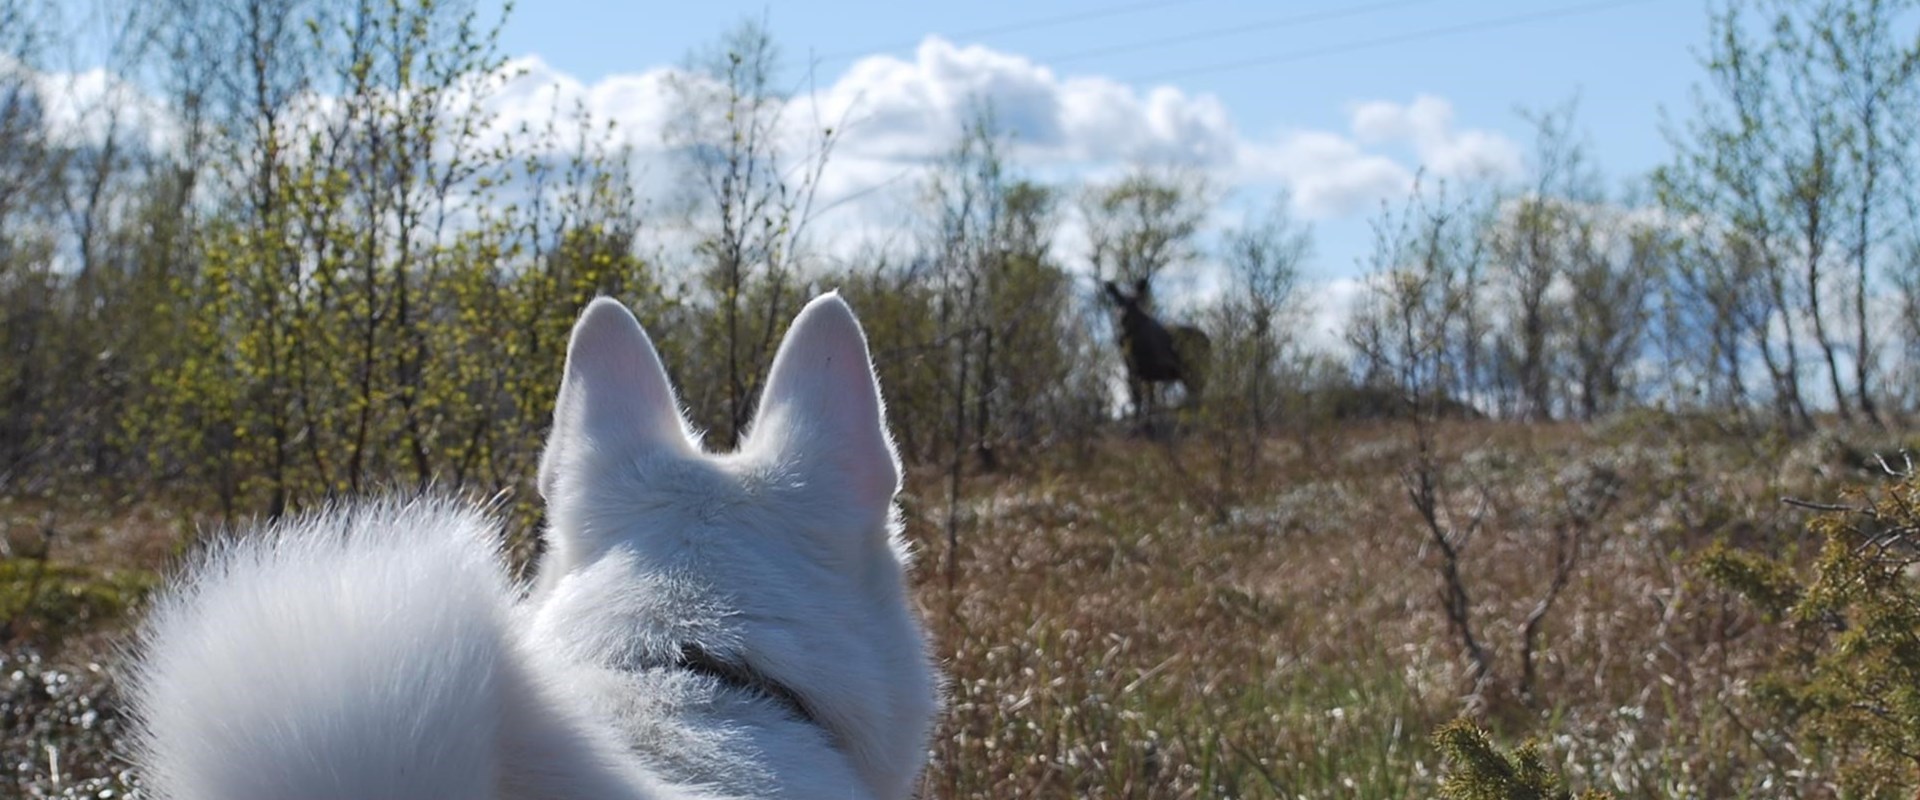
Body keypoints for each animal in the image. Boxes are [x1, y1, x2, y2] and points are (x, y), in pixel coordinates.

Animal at [1105, 278, 1205, 433]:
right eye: (1118, 301)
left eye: (1134, 303)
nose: (1123, 316)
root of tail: (1208, 341)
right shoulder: (1134, 370)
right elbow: (1139, 397)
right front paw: (1139, 426)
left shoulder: (1152, 368)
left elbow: (1148, 398)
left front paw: (1147, 425)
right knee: (1194, 392)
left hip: (1193, 369)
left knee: (1197, 393)